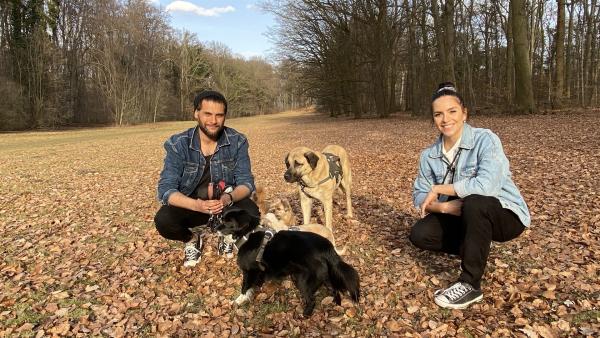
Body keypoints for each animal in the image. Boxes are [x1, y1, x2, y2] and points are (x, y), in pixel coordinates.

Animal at [219, 206, 360, 316]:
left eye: (227, 221)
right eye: (221, 218)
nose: (215, 227)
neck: (247, 235)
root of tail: (327, 246)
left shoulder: (249, 271)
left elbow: (244, 287)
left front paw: (239, 301)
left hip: (303, 280)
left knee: (312, 299)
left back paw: (305, 314)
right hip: (322, 275)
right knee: (334, 289)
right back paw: (337, 305)